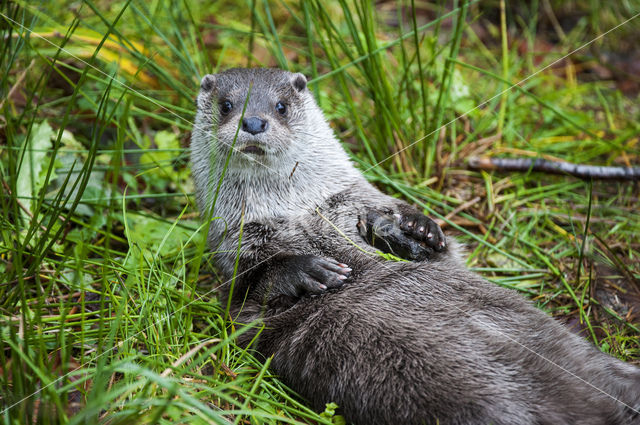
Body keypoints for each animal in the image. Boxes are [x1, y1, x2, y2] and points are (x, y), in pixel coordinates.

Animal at [190, 67, 640, 424]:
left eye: (281, 106)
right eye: (227, 105)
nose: (253, 121)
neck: (297, 208)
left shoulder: (352, 197)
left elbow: (444, 251)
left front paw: (415, 231)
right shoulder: (233, 246)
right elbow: (248, 293)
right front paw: (308, 269)